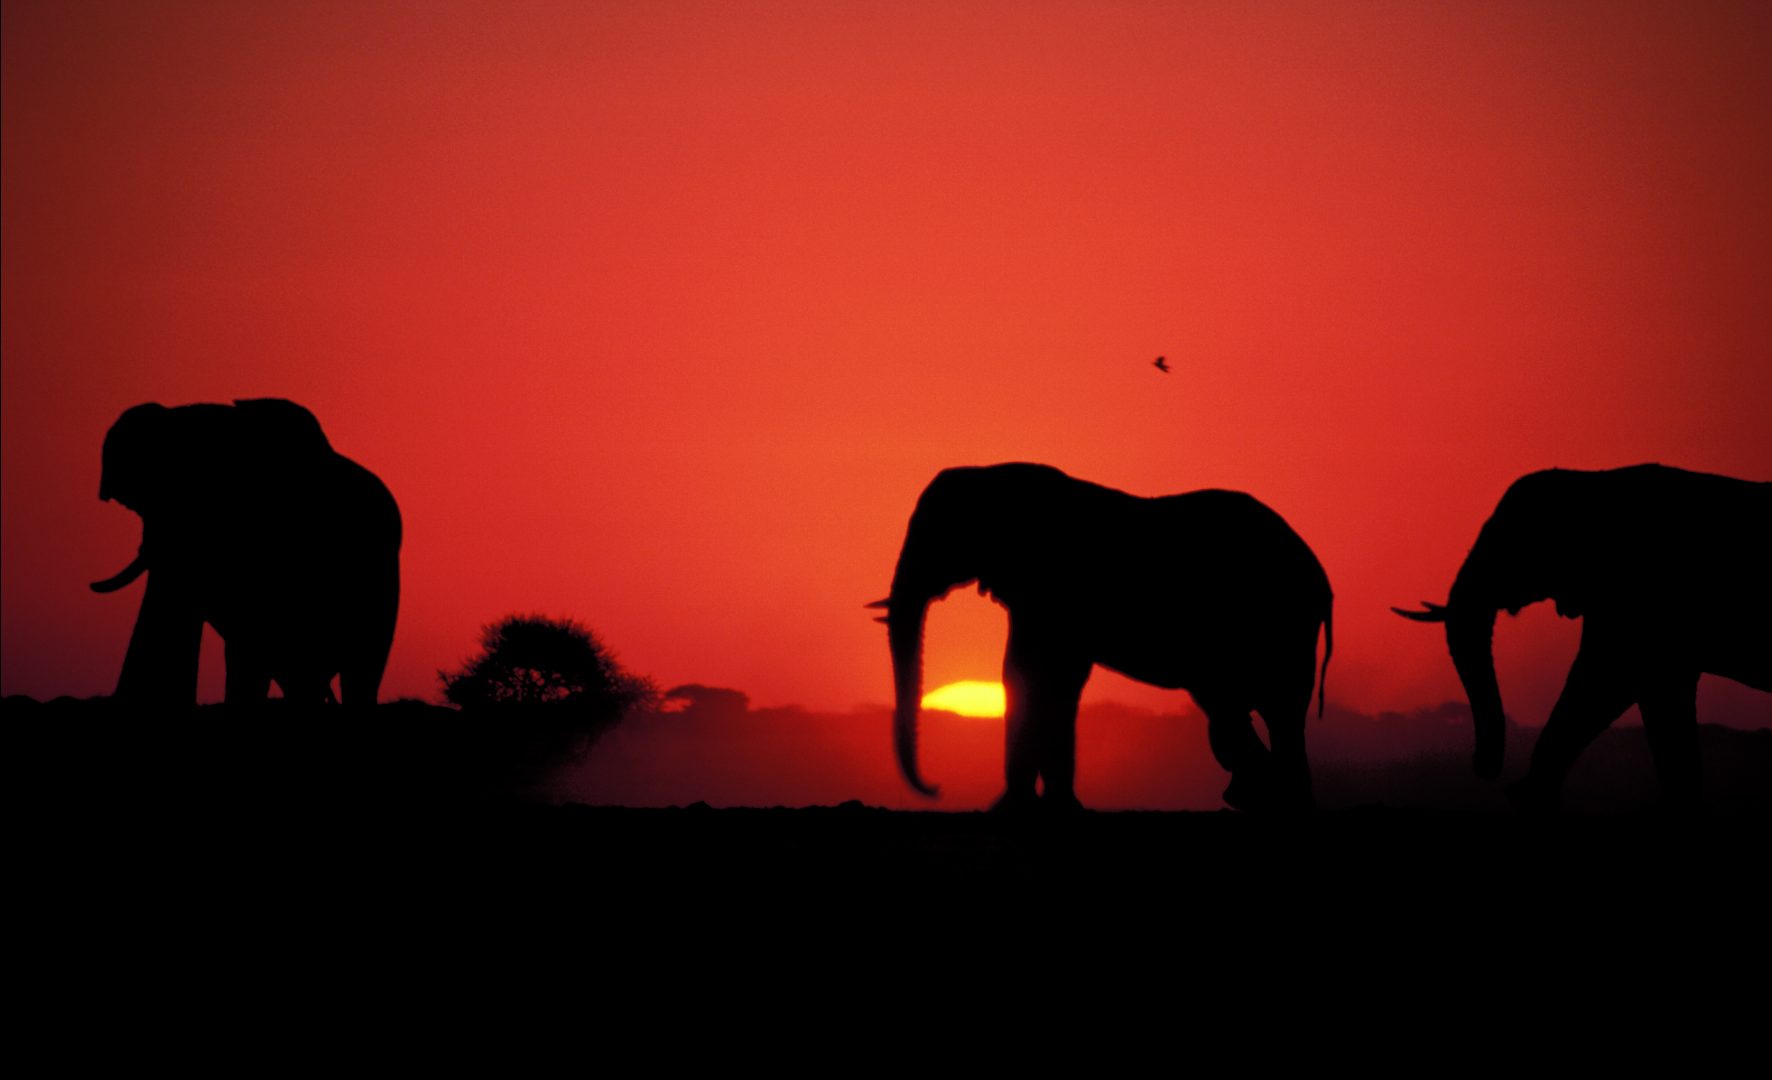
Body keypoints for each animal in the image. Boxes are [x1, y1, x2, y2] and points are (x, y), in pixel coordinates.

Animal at [871, 463, 1334, 812]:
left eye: (936, 534)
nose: (936, 789)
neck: (993, 472)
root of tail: (1321, 578)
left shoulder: (1055, 590)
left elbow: (1039, 674)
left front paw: (1022, 808)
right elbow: (1035, 675)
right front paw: (1045, 807)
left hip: (1279, 624)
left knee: (1271, 709)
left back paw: (1271, 802)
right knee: (1251, 710)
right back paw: (1267, 800)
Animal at [1394, 464, 1771, 809]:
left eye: (1516, 542)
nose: (1482, 766)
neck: (1591, 480)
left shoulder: (1638, 599)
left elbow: (1602, 681)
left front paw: (1524, 794)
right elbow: (1659, 694)